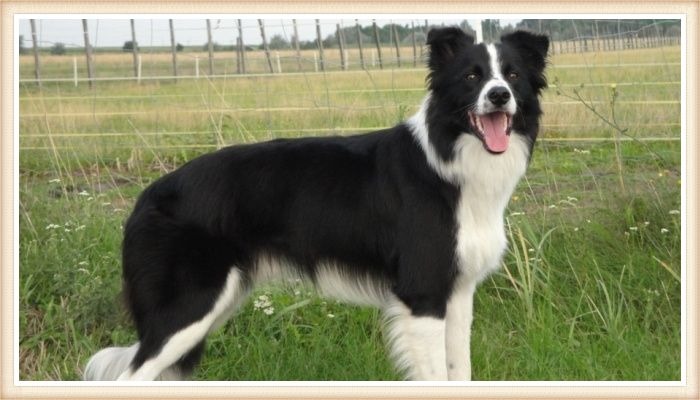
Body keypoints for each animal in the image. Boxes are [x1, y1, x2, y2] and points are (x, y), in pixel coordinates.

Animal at [85, 28, 548, 382]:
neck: (450, 162)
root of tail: (148, 194)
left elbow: (459, 370)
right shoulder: (423, 293)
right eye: (471, 76)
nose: (499, 96)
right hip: (189, 306)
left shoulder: (458, 293)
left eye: (513, 75)